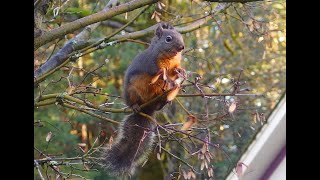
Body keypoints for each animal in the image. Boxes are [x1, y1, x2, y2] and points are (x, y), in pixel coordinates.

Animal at [101, 22, 186, 176]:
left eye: (180, 36)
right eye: (168, 39)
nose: (182, 47)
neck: (170, 58)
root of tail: (147, 109)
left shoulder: (174, 66)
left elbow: (174, 72)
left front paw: (181, 72)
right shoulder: (151, 63)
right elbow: (156, 73)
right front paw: (163, 75)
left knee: (165, 97)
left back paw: (166, 99)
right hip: (132, 91)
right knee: (136, 99)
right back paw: (135, 106)